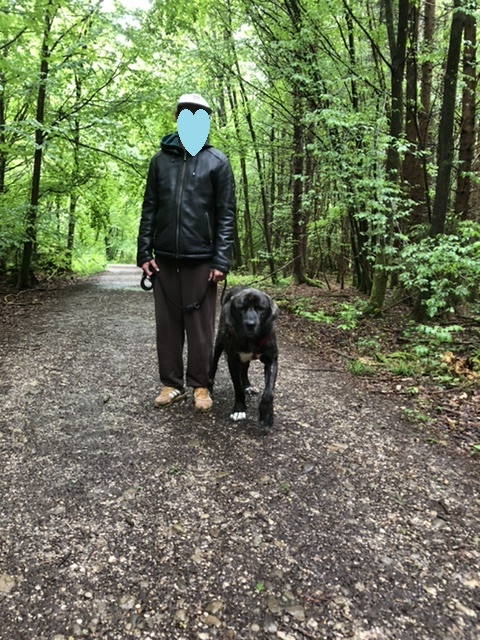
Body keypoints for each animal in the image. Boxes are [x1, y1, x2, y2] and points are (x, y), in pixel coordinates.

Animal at [210, 286, 279, 430]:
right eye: (241, 308)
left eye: (261, 308)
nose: (250, 324)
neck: (251, 340)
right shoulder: (233, 360)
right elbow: (237, 387)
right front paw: (239, 409)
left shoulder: (272, 360)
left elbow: (269, 392)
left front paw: (267, 416)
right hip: (219, 343)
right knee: (214, 365)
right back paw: (209, 388)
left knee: (245, 370)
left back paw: (247, 385)